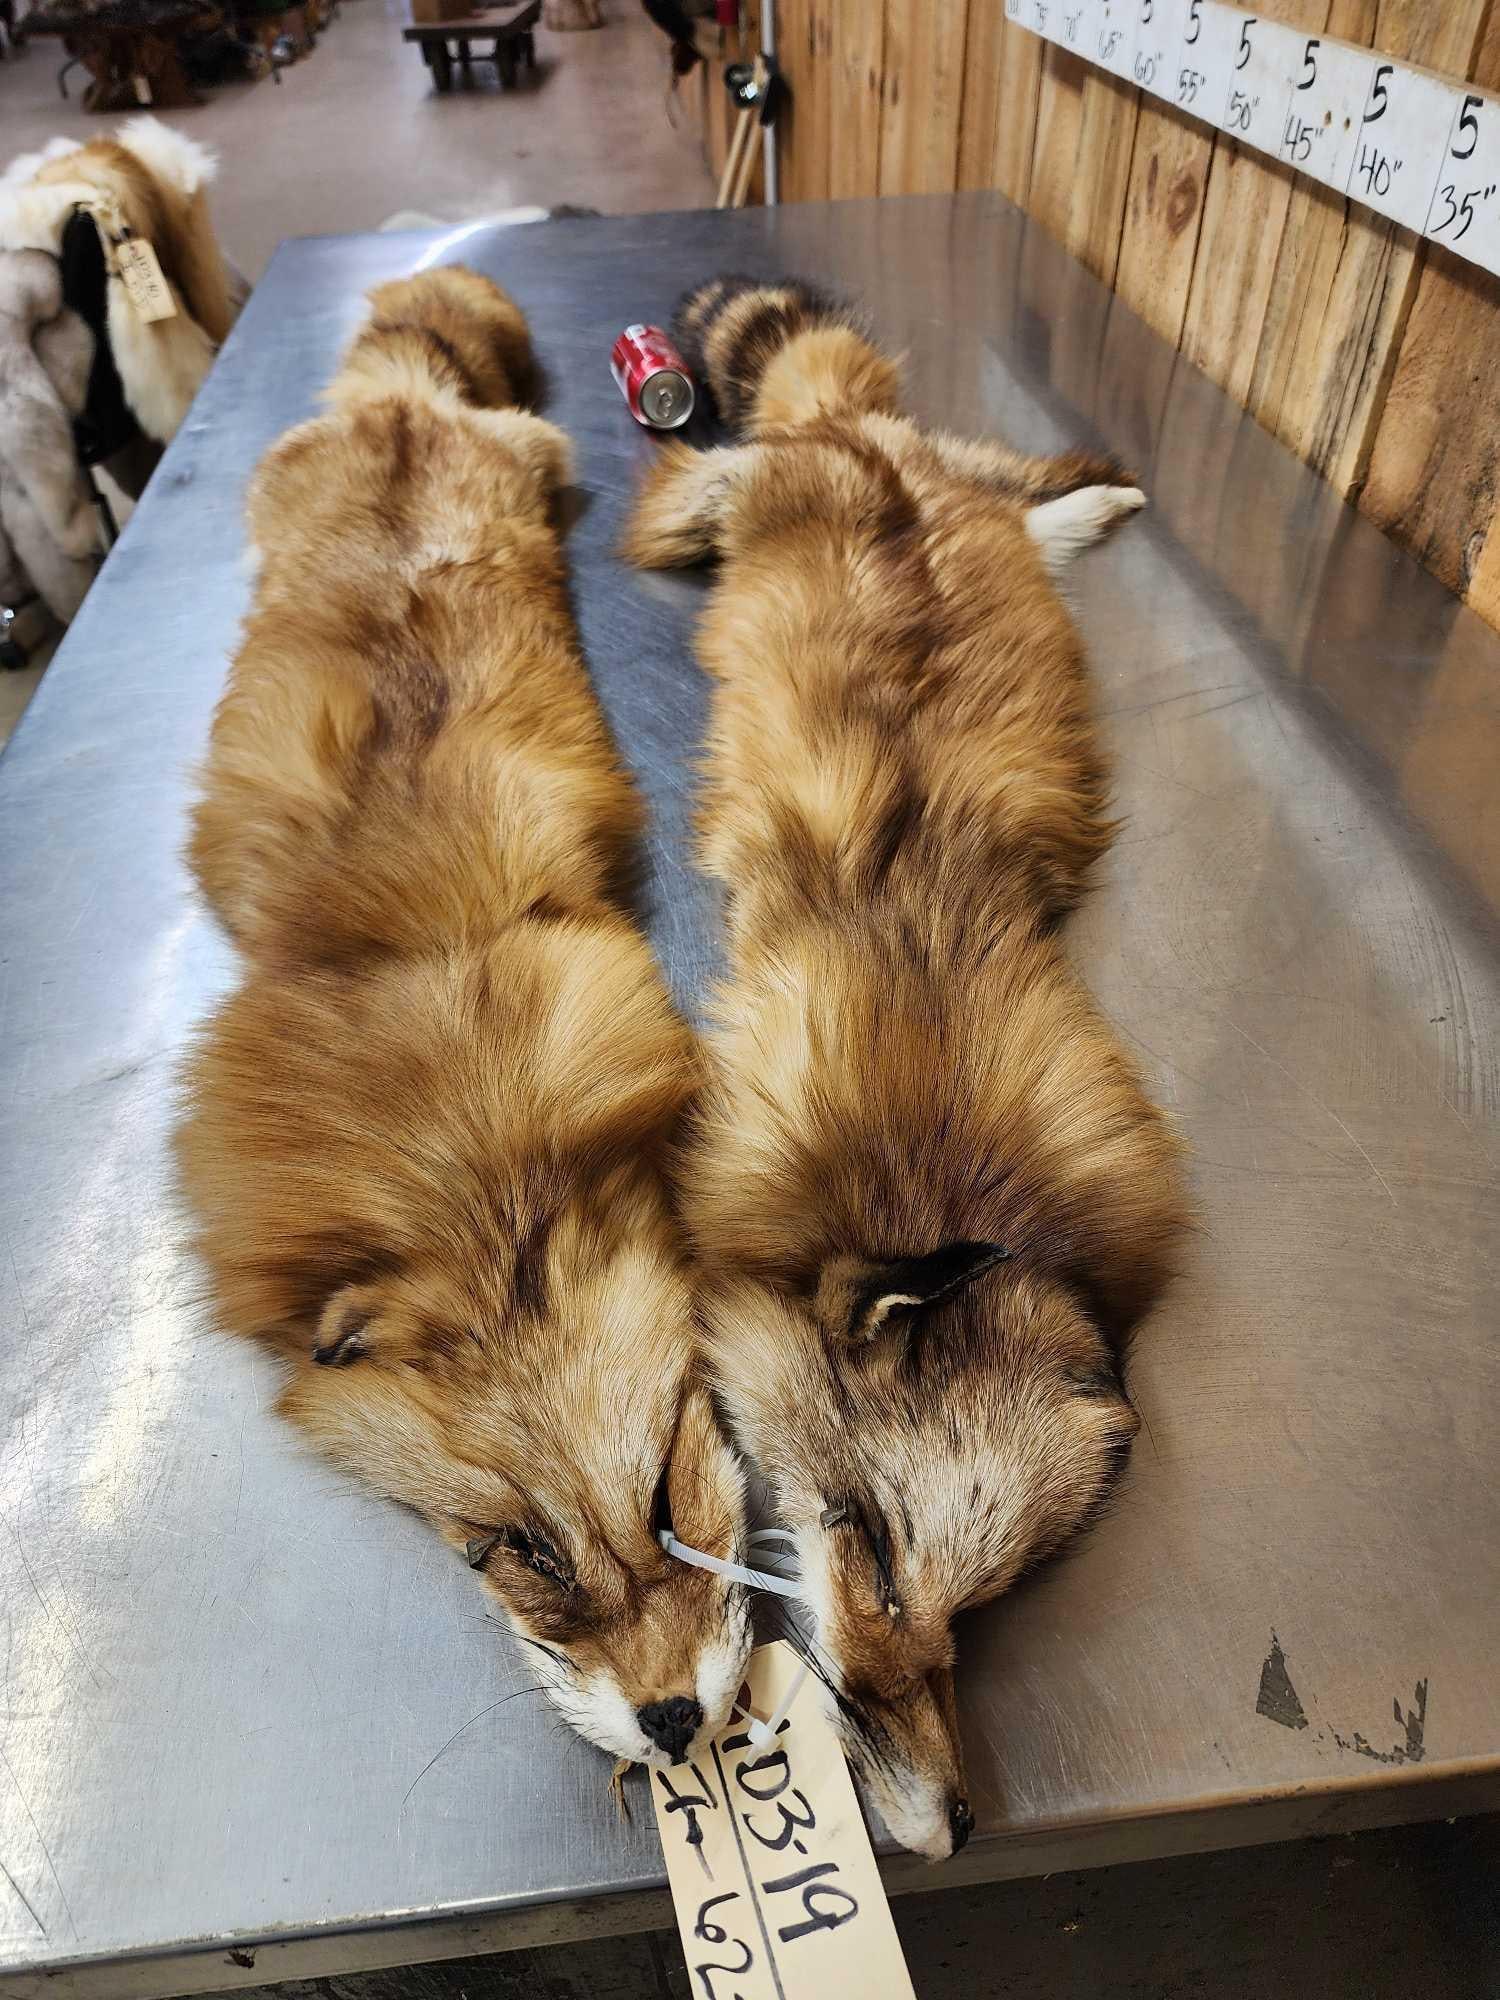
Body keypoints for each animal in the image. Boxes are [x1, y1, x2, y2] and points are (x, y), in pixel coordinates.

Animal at [175, 267, 749, 1772]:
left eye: (668, 1498)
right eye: (516, 1551)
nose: (677, 1725)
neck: (462, 1167)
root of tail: (402, 404)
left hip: (530, 451)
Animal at [622, 275, 1188, 1858]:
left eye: (968, 1617)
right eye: (870, 1547)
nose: (952, 1827)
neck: (930, 1169)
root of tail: (860, 449)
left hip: (947, 474)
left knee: (1006, 479)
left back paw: (1093, 500)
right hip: (733, 498)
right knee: (685, 488)